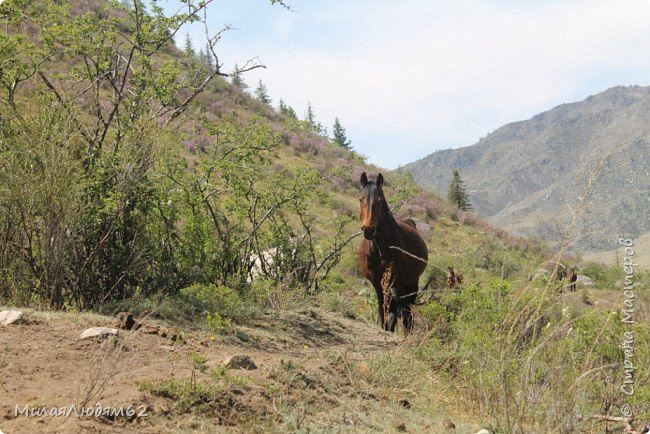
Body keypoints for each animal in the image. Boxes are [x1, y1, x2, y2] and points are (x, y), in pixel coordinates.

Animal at [356, 172, 428, 332]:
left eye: (379, 201)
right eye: (360, 199)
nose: (368, 230)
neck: (380, 248)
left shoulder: (398, 283)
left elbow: (396, 313)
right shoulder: (377, 283)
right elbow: (382, 310)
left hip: (411, 283)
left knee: (407, 314)